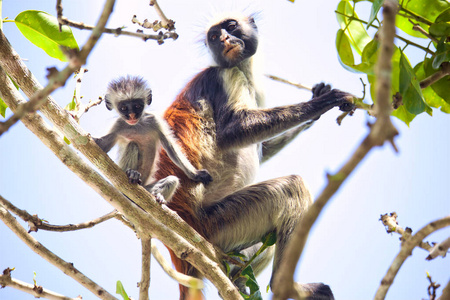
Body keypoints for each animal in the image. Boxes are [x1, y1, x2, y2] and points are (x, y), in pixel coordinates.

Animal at [93, 75, 213, 203]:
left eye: (137, 106)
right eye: (124, 108)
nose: (132, 115)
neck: (137, 125)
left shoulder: (154, 120)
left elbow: (170, 147)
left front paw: (196, 175)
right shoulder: (118, 125)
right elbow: (101, 146)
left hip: (146, 189)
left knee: (172, 180)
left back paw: (158, 196)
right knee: (133, 145)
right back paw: (131, 174)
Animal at [153, 12, 354, 298]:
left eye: (230, 26)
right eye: (213, 37)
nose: (224, 39)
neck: (244, 71)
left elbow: (263, 149)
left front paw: (318, 102)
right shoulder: (226, 75)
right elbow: (233, 130)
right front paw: (323, 102)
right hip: (216, 224)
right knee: (292, 188)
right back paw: (285, 285)